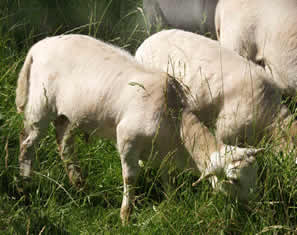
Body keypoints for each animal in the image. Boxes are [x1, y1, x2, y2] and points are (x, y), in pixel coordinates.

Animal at [15, 33, 262, 224]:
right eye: (234, 180)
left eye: (255, 175)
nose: (253, 208)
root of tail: (39, 46)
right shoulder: (127, 141)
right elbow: (130, 179)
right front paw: (126, 215)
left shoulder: (164, 151)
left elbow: (166, 176)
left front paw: (170, 201)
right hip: (40, 105)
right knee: (27, 143)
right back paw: (25, 187)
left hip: (65, 114)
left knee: (64, 145)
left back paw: (79, 185)